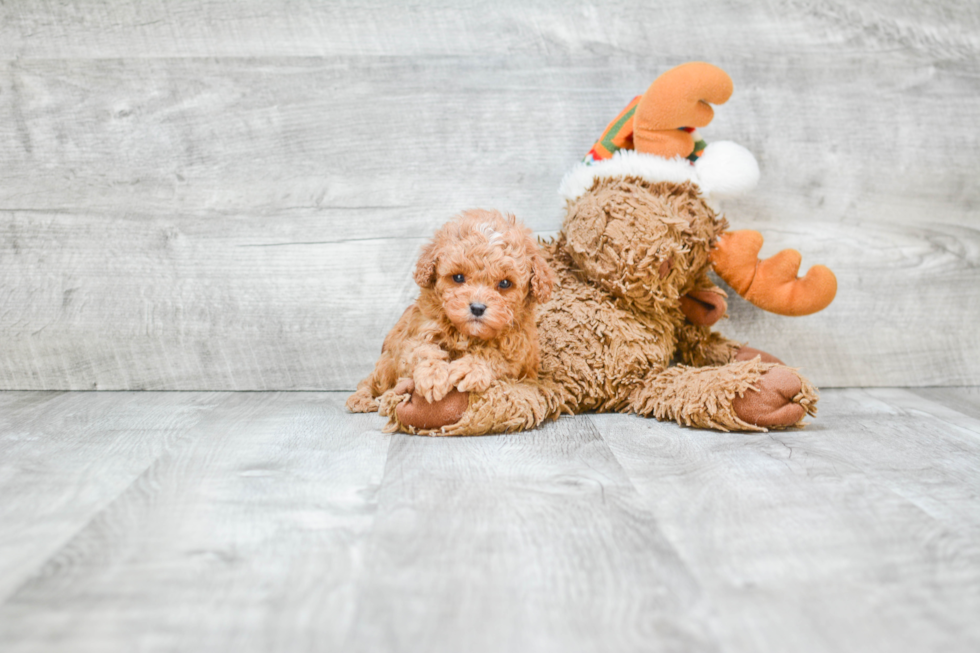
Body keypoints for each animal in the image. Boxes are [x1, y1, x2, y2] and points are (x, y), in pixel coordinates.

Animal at [348, 209, 556, 418]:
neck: (466, 334)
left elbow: (495, 355)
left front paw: (471, 368)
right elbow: (423, 350)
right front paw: (433, 374)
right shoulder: (415, 336)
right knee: (370, 381)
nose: (477, 308)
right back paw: (361, 399)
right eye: (458, 277)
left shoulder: (518, 352)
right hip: (387, 364)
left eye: (505, 283)